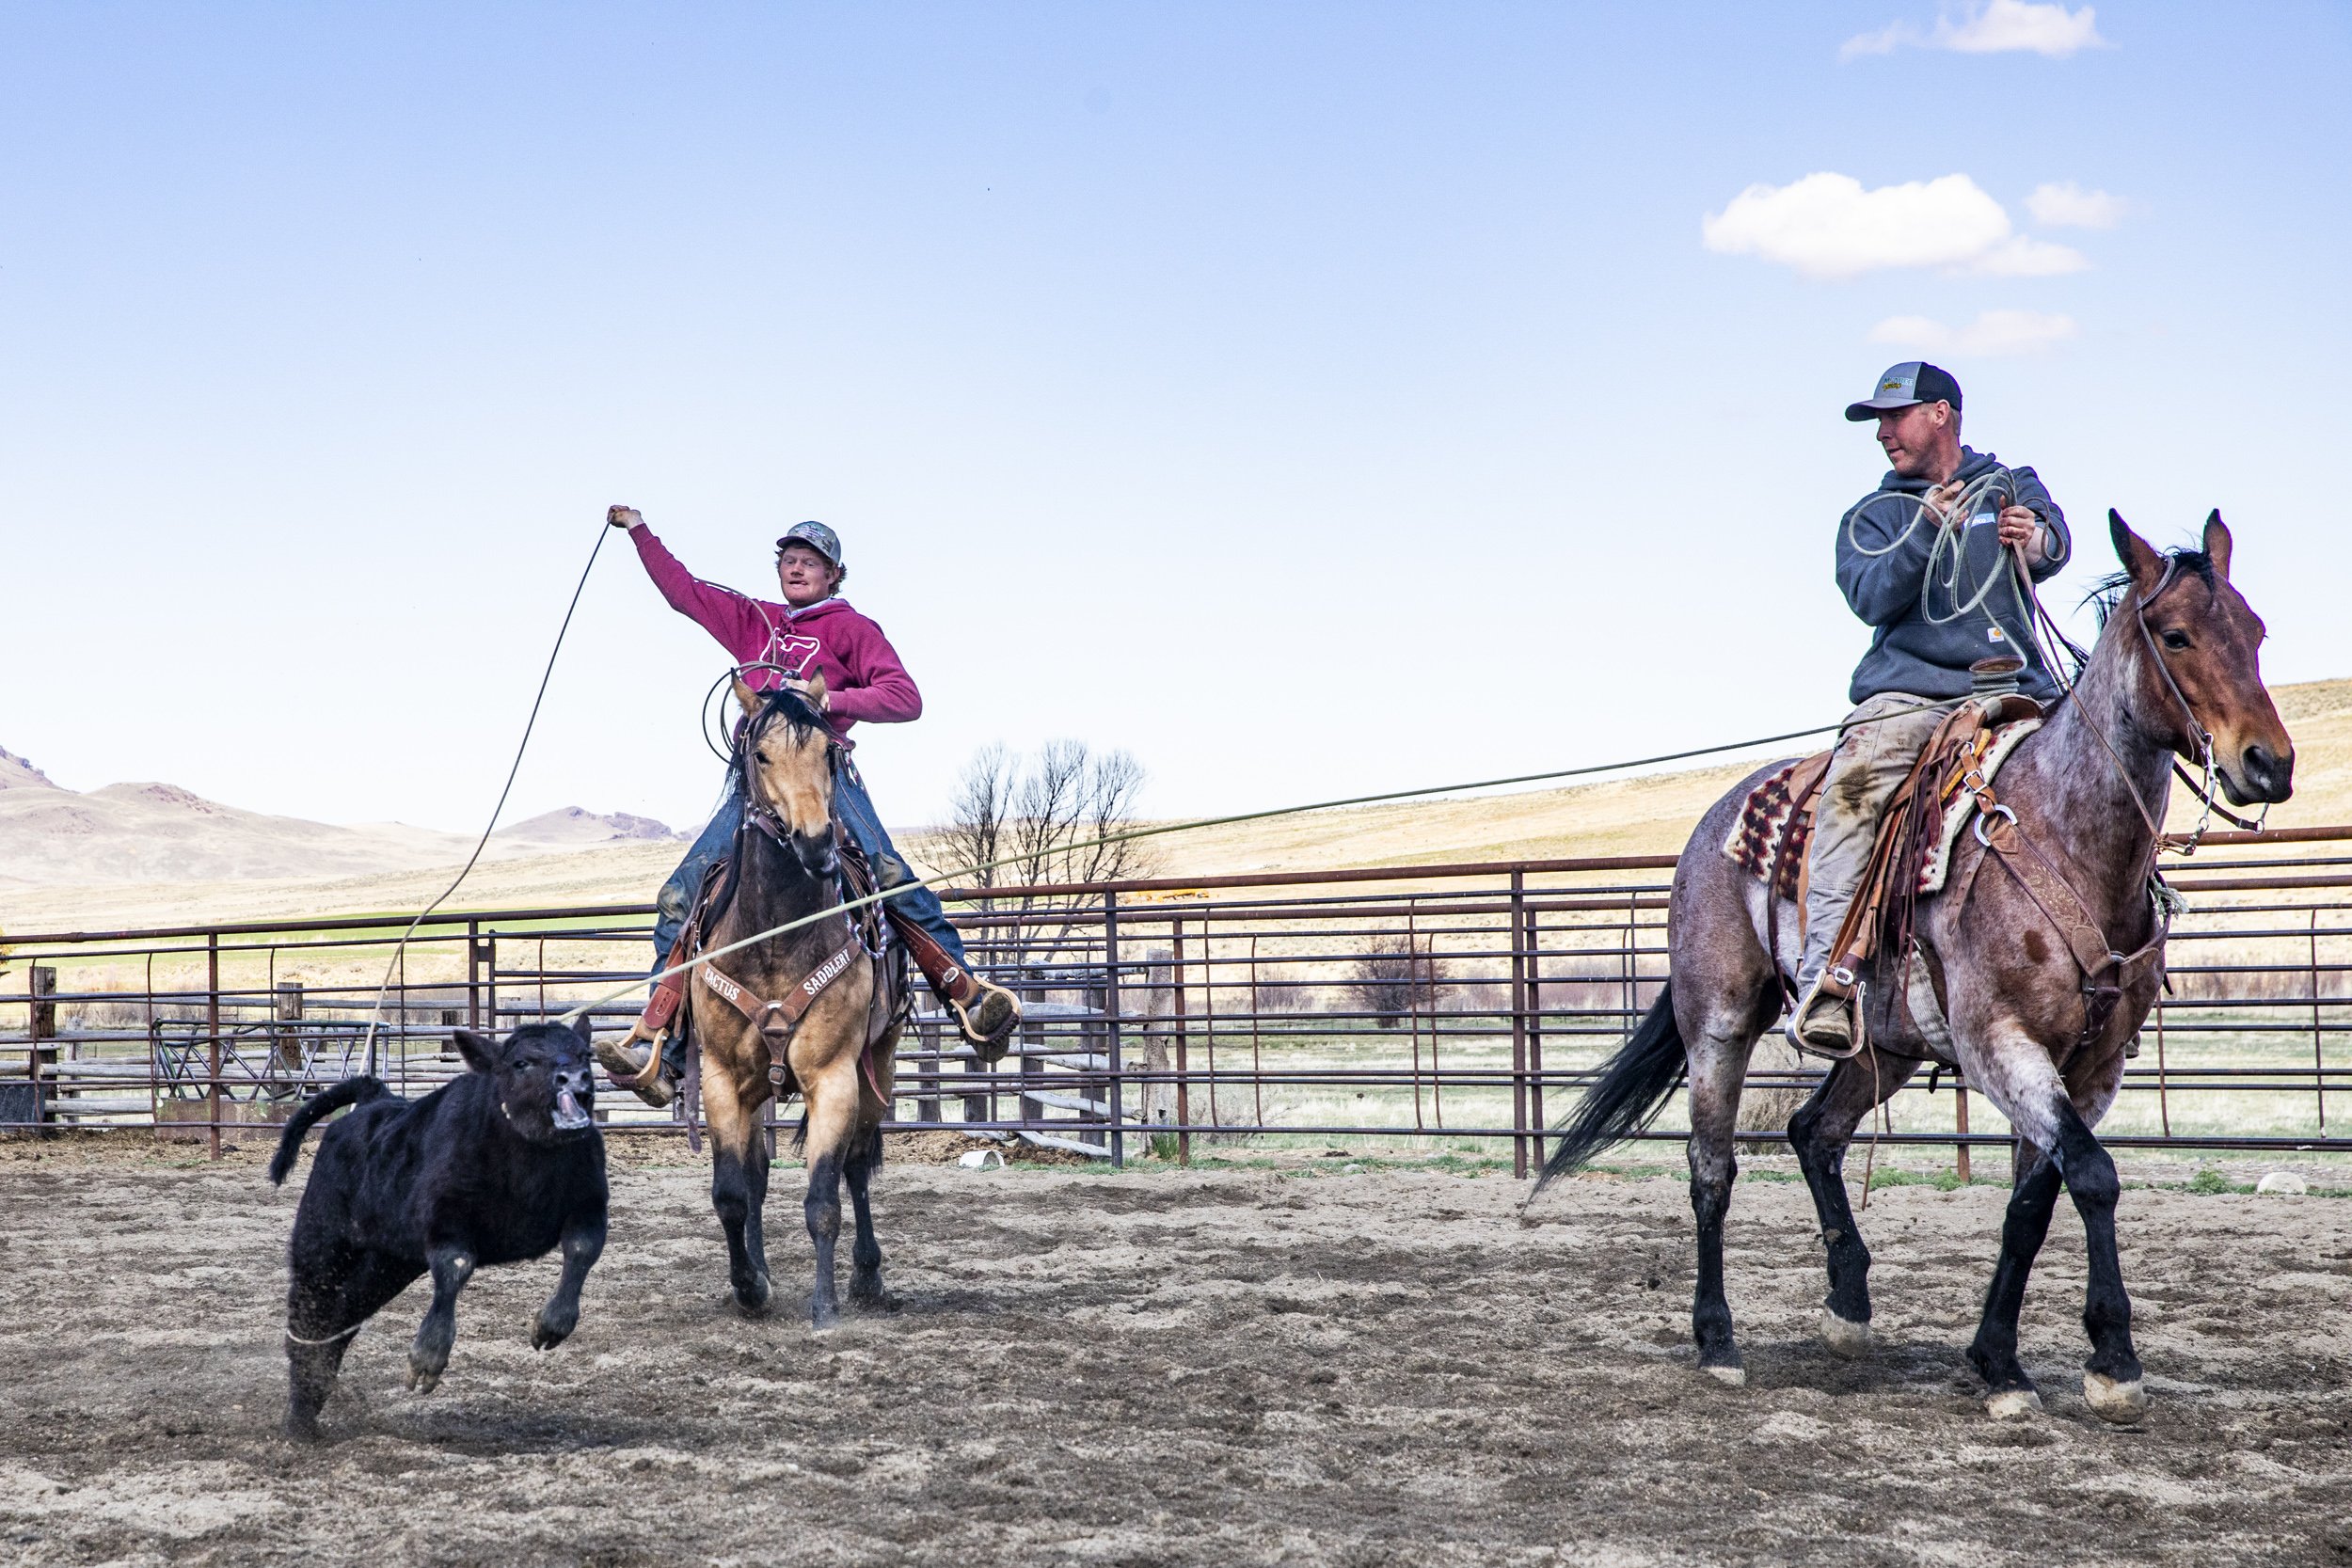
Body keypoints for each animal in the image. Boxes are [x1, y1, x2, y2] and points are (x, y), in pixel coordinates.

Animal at [266, 1024, 607, 1438]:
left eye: (585, 1055)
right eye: (522, 1062)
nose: (575, 1078)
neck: (527, 1164)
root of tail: (376, 1099)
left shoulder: (590, 1203)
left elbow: (582, 1248)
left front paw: (549, 1327)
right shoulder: (446, 1220)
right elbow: (456, 1266)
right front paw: (428, 1357)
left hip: (389, 1261)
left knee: (343, 1319)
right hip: (321, 1242)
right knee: (308, 1316)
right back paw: (298, 1421)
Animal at [682, 676, 908, 1325]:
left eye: (830, 753)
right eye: (760, 756)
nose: (815, 841)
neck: (775, 939)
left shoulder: (833, 1077)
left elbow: (823, 1198)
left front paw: (825, 1306)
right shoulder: (721, 1078)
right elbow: (733, 1194)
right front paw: (749, 1287)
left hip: (878, 1062)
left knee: (856, 1166)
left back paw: (866, 1277)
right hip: (758, 1085)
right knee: (756, 1177)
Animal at [1543, 515, 2296, 1419]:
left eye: (2256, 631)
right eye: (2177, 635)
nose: (2271, 764)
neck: (2070, 841)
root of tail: (1713, 824)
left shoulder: (2092, 1066)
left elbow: (2033, 1203)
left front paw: (1998, 1359)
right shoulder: (1998, 1041)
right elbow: (2093, 1174)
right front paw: (2113, 1359)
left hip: (1888, 1046)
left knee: (1814, 1131)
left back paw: (1848, 1306)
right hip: (1718, 1022)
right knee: (1712, 1169)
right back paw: (1717, 1339)